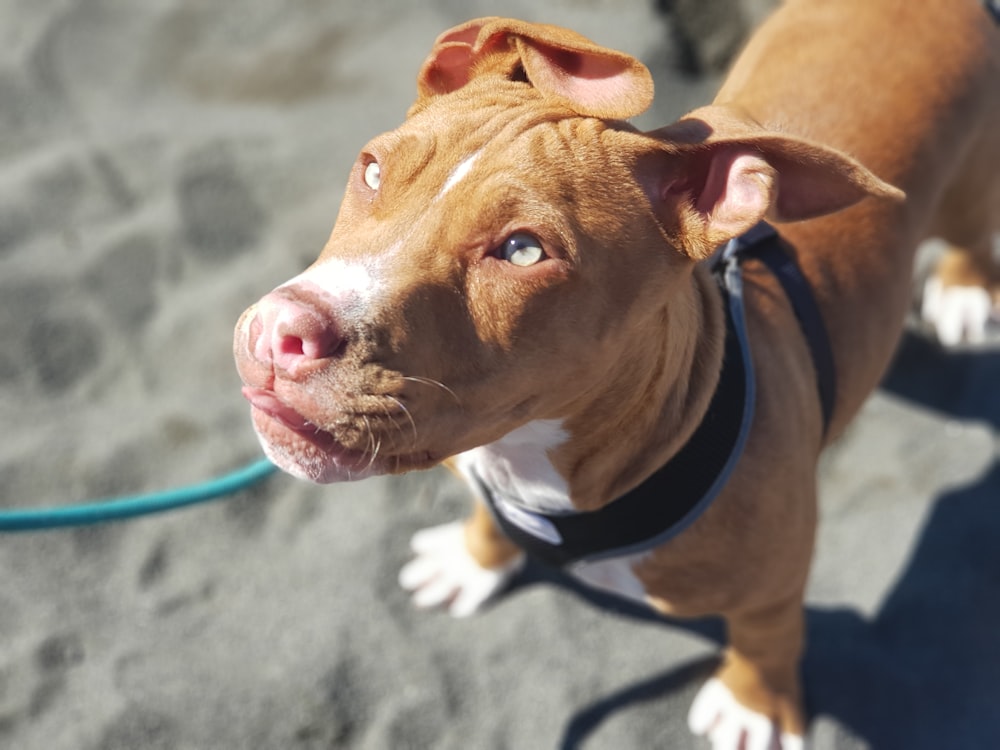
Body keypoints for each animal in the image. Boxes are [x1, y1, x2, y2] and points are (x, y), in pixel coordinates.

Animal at [236, 2, 1000, 748]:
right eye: (371, 171)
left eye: (522, 251)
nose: (279, 332)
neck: (533, 464)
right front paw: (471, 560)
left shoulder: (776, 580)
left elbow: (767, 636)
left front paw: (753, 705)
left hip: (969, 186)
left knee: (970, 231)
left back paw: (965, 289)